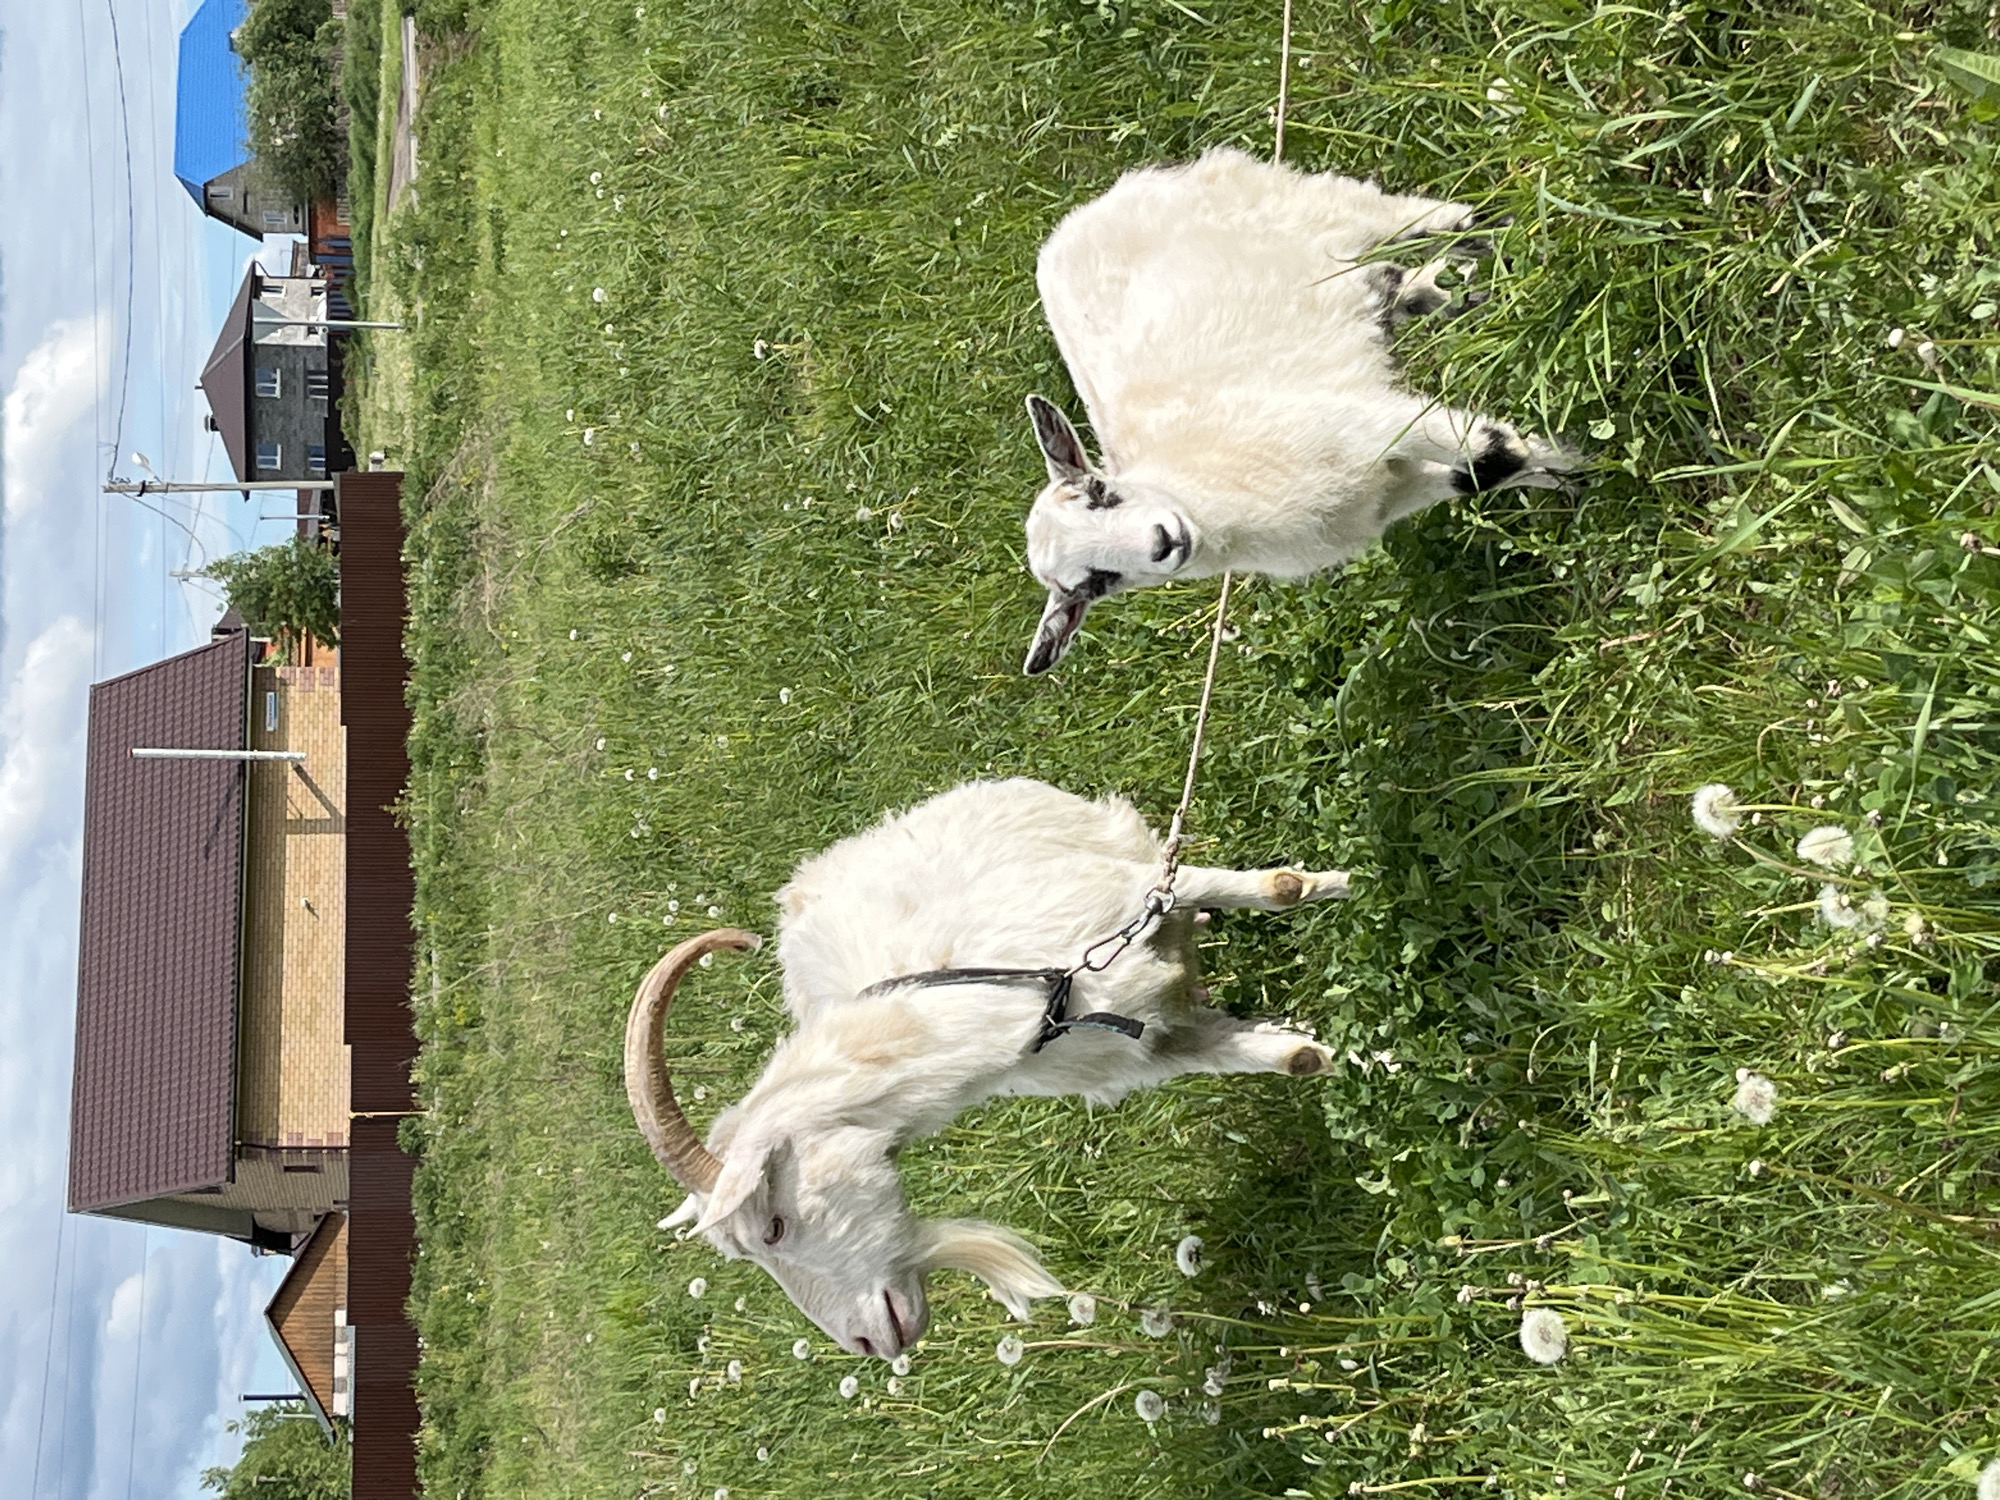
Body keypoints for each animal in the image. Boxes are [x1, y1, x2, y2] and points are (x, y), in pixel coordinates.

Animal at [627, 778, 1349, 1359]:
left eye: (773, 1226)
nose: (867, 1346)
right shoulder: (1138, 1049)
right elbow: (1266, 1057)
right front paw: (1324, 1055)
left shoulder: (1135, 892)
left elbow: (1278, 890)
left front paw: (1347, 883)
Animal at [1021, 145, 1573, 674]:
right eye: (1094, 583)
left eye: (1101, 492)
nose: (1163, 543)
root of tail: (1080, 218)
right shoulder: (1388, 493)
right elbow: (1478, 474)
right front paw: (1566, 478)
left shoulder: (1368, 423)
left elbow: (1489, 454)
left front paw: (1577, 471)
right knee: (1400, 280)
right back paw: (1474, 288)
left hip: (1309, 204)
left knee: (1430, 221)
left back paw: (1514, 233)